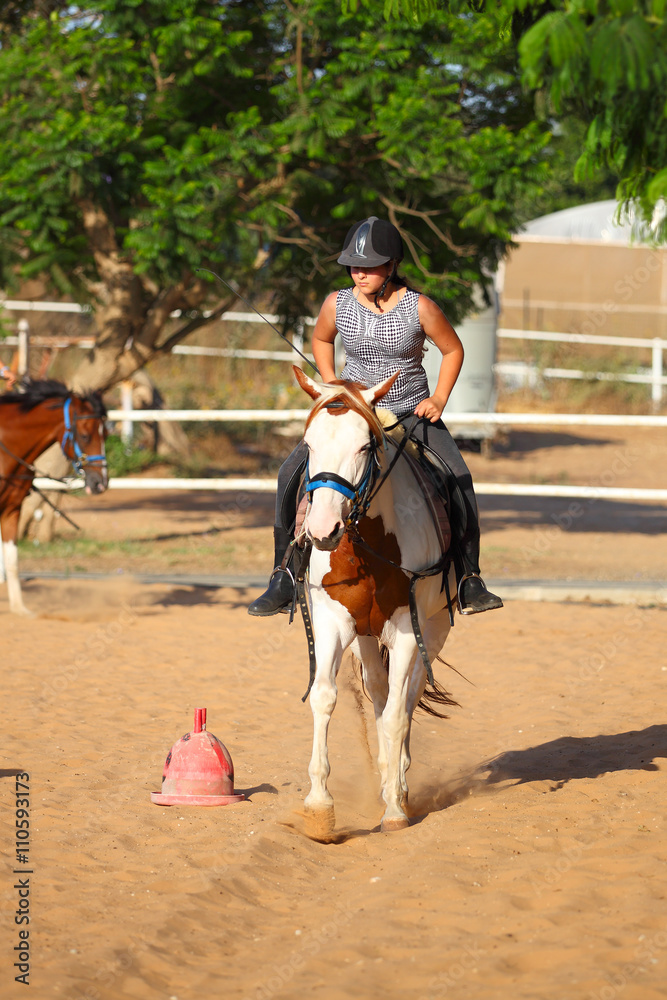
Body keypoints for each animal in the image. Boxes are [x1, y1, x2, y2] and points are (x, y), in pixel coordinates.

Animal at [0, 379, 108, 615]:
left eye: (105, 435)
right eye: (85, 436)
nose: (101, 483)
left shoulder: (11, 510)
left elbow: (12, 560)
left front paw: (19, 609)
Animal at [293, 366, 459, 834]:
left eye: (364, 446)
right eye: (308, 445)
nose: (322, 529)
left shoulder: (407, 628)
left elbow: (399, 713)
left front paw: (396, 808)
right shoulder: (331, 621)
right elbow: (325, 697)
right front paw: (318, 806)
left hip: (433, 630)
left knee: (408, 696)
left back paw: (397, 785)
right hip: (366, 636)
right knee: (381, 693)